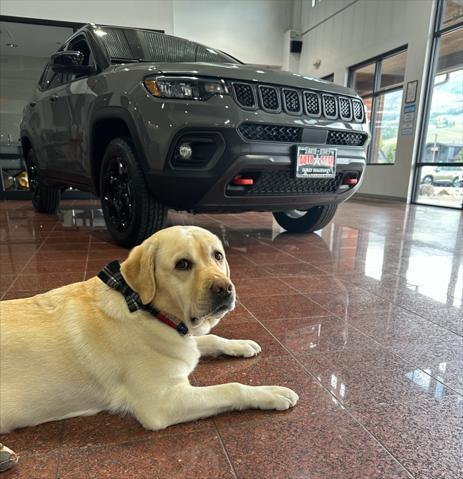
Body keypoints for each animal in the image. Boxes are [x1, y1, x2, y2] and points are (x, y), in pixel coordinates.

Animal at [0, 227, 300, 434]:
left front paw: (241, 344)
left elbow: (210, 338)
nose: (225, 288)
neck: (148, 310)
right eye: (182, 264)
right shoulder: (163, 402)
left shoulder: (186, 340)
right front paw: (271, 393)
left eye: (217, 255)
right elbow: (231, 388)